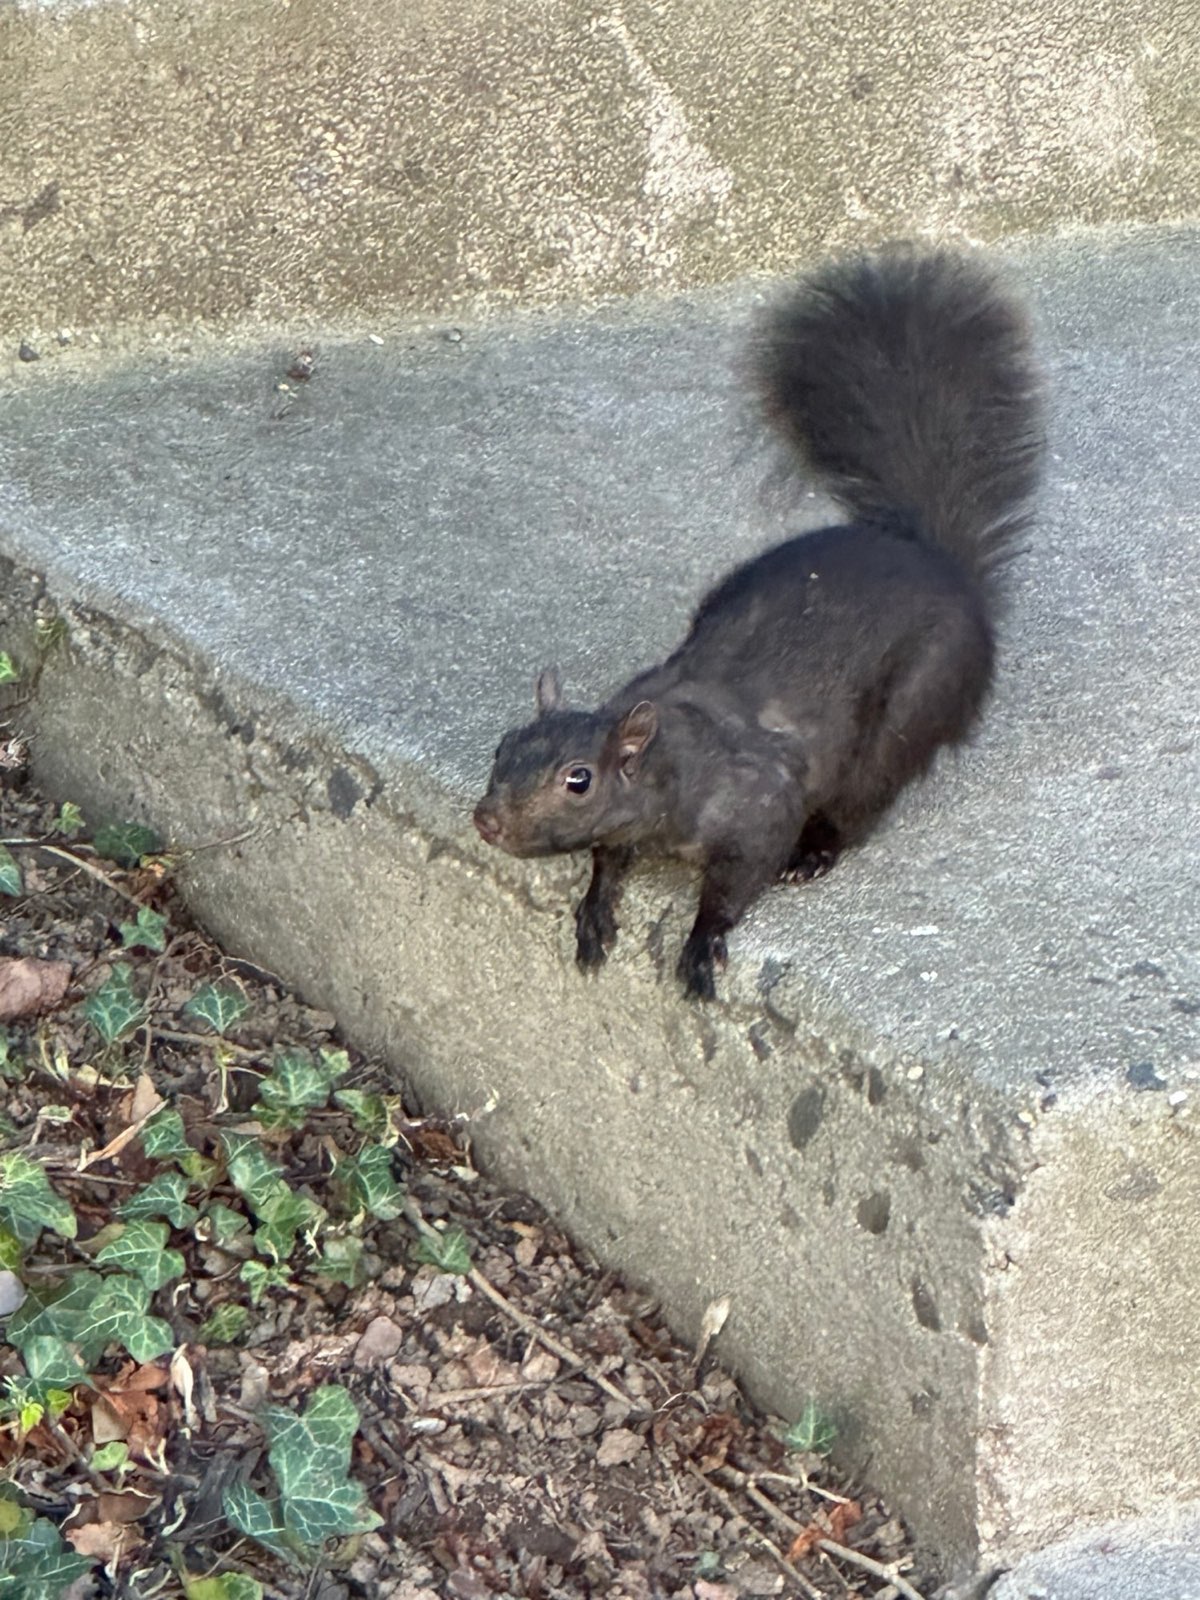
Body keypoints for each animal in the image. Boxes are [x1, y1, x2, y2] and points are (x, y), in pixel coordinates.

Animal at [473, 245, 1044, 1001]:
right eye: (503, 748)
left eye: (578, 780)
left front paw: (701, 942)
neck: (674, 757)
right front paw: (594, 909)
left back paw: (817, 851)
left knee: (863, 804)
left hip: (913, 708)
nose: (487, 820)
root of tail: (942, 564)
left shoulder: (759, 809)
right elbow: (609, 857)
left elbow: (735, 885)